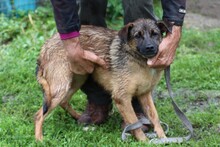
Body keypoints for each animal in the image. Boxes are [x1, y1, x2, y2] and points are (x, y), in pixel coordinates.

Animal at [35, 18, 170, 141]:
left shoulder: (144, 94)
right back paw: (39, 139)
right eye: (137, 36)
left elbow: (155, 117)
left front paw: (162, 138)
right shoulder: (122, 98)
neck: (138, 59)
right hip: (60, 86)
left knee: (63, 102)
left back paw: (79, 117)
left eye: (155, 34)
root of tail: (44, 47)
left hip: (76, 80)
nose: (150, 47)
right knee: (39, 115)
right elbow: (135, 124)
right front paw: (145, 141)